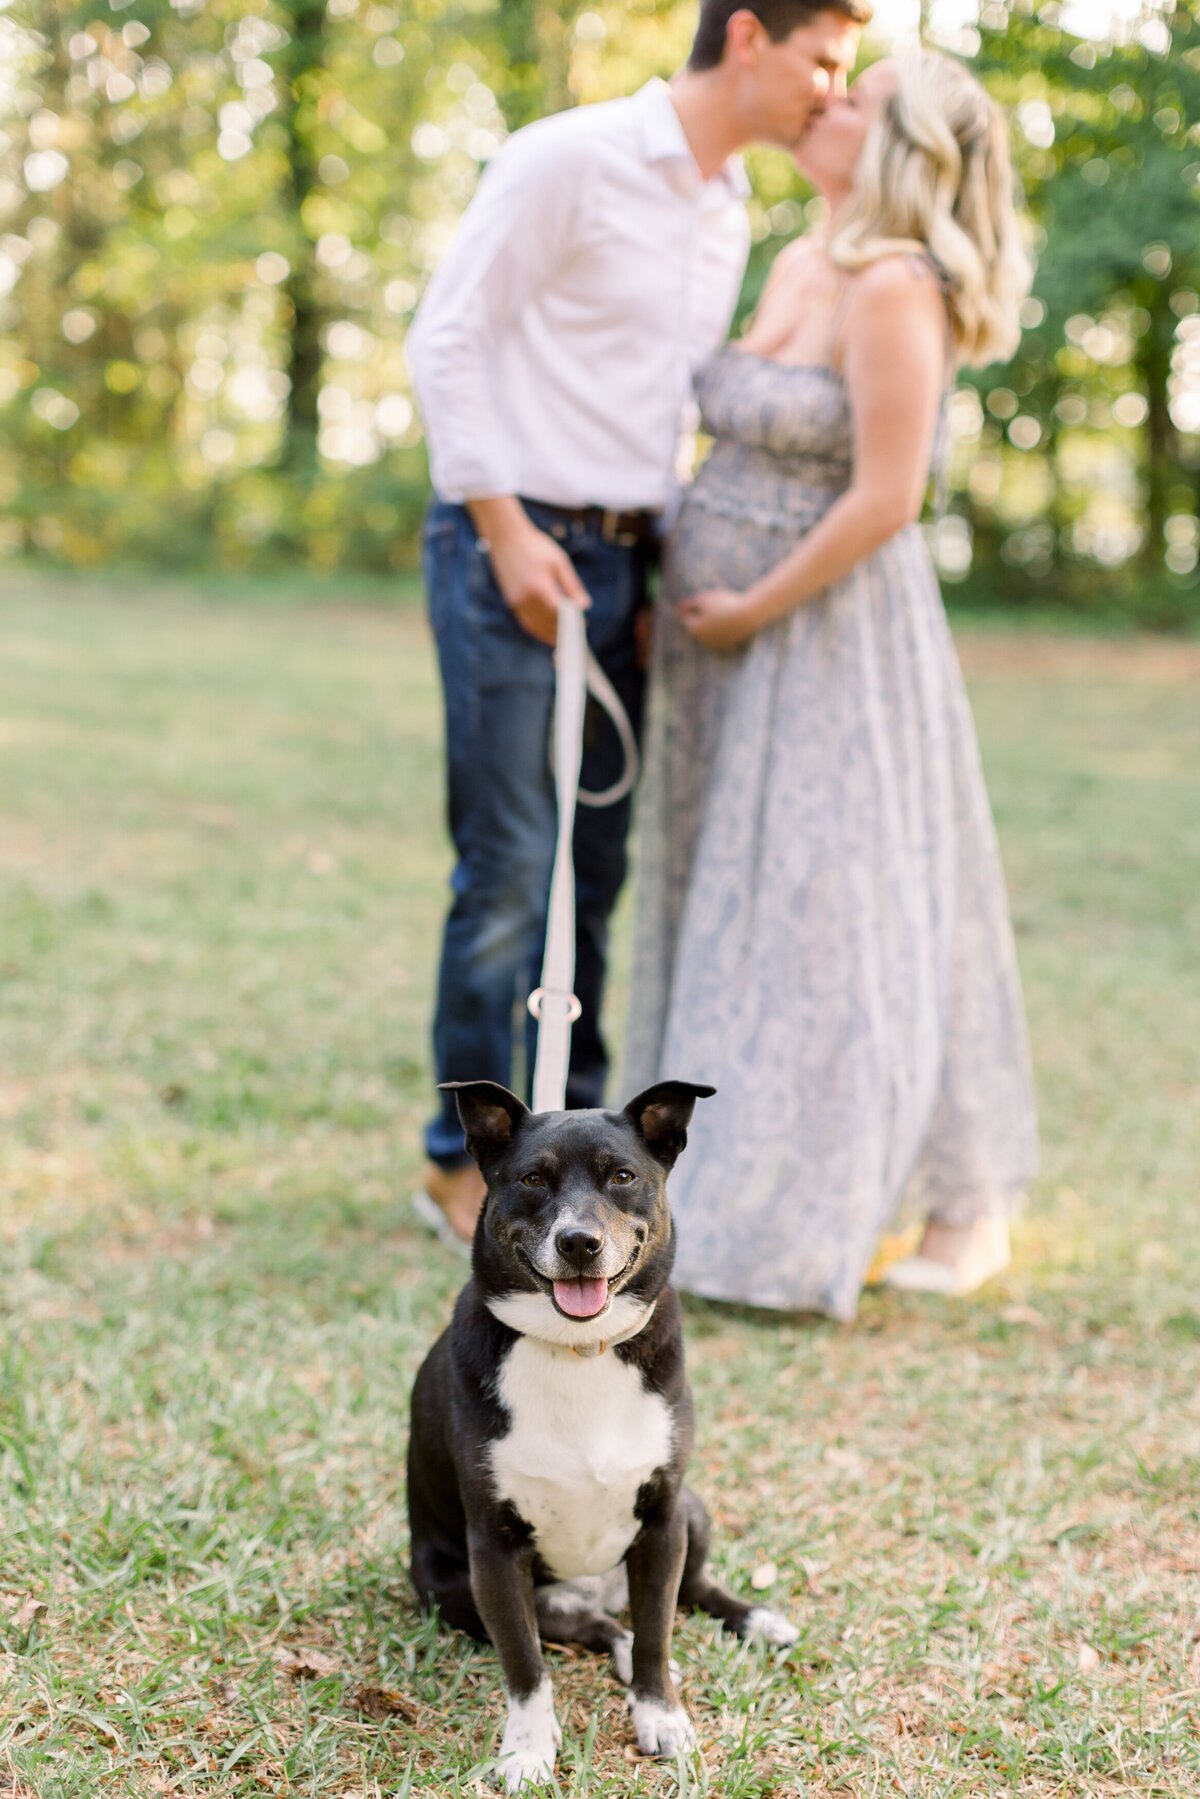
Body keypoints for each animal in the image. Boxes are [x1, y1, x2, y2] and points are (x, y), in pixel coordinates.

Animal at [410, 1079, 798, 1784]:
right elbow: (526, 1666)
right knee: (597, 1627)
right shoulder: (494, 1552)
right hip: (450, 1590)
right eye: (532, 1179)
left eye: (623, 1177)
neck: (578, 1348)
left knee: (684, 1595)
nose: (579, 1243)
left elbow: (656, 1634)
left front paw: (661, 1716)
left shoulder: (664, 1522)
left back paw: (755, 1620)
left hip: (693, 1512)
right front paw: (527, 1749)